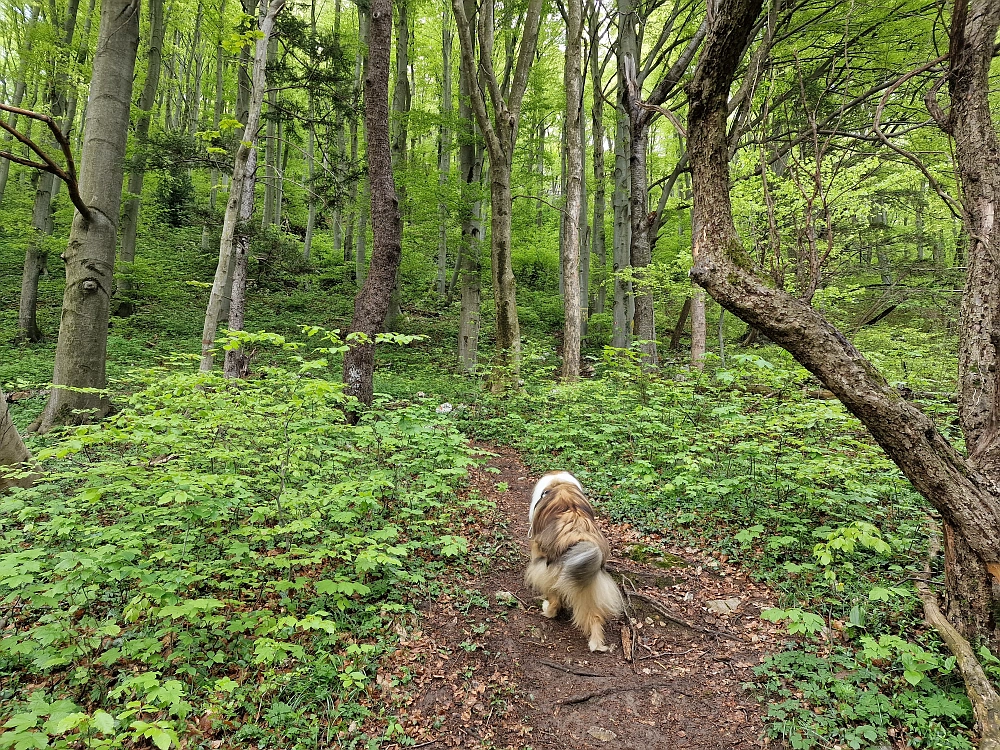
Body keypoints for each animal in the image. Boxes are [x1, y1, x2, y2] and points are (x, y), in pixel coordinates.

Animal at [528, 470, 620, 652]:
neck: (558, 483)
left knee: (555, 599)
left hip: (550, 572)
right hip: (590, 582)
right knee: (595, 615)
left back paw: (547, 610)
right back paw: (596, 643)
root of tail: (578, 537)